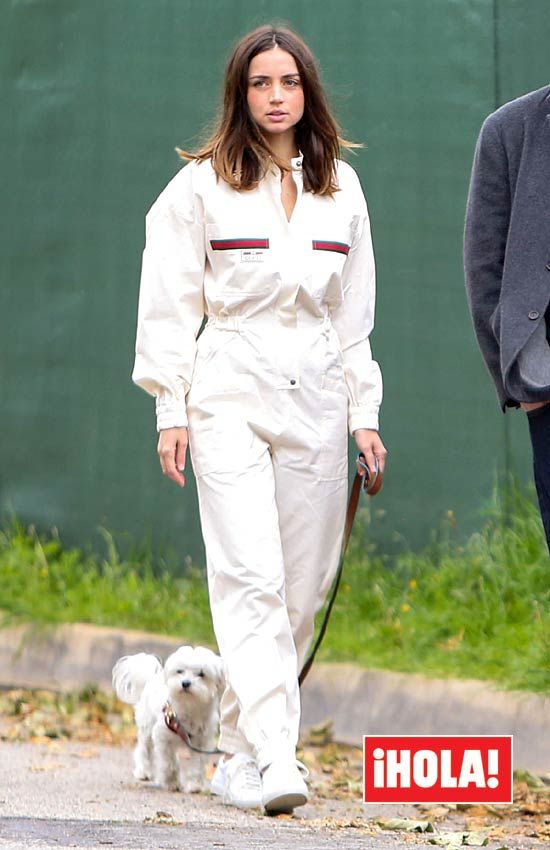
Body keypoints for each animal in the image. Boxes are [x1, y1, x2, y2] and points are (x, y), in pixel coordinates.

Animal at [113, 644, 225, 792]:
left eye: (202, 674)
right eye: (180, 671)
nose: (185, 683)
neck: (189, 706)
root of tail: (152, 677)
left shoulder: (201, 742)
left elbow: (196, 764)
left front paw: (194, 784)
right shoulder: (163, 737)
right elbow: (168, 762)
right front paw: (171, 782)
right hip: (147, 726)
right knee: (144, 749)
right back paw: (143, 771)